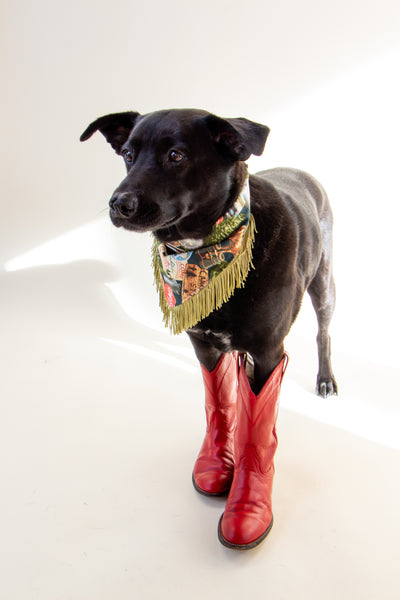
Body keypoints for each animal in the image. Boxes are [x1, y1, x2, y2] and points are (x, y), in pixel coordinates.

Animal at [80, 110, 338, 552]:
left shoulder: (268, 351)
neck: (205, 247)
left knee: (324, 332)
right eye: (128, 154)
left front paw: (247, 504)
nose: (119, 204)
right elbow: (220, 402)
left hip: (324, 282)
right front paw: (219, 462)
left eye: (176, 155)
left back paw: (325, 380)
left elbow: (257, 427)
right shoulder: (204, 344)